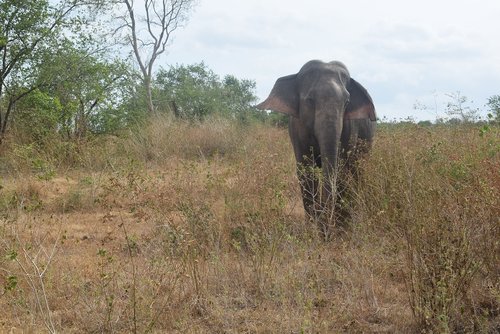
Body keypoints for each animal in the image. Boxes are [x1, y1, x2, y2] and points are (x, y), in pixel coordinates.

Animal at [258, 60, 376, 235]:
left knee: (358, 172)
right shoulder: (296, 128)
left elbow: (341, 171)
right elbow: (306, 171)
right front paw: (314, 228)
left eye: (347, 102)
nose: (326, 229)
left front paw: (338, 229)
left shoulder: (350, 128)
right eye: (310, 100)